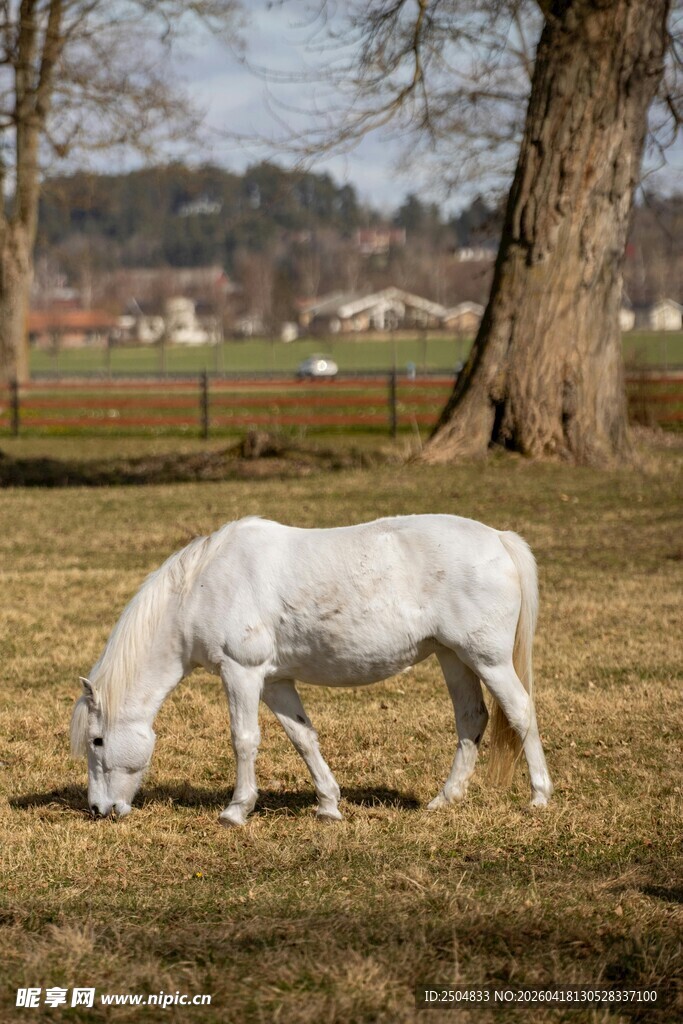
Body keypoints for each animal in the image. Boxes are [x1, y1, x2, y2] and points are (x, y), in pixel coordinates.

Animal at [70, 515, 553, 825]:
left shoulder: (241, 673)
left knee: (520, 711)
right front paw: (328, 805)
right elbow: (303, 737)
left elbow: (244, 740)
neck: (202, 588)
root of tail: (499, 539)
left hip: (487, 660)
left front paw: (236, 811)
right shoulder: (275, 681)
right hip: (452, 657)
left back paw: (539, 797)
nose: (97, 810)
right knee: (472, 719)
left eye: (98, 741)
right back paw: (444, 800)